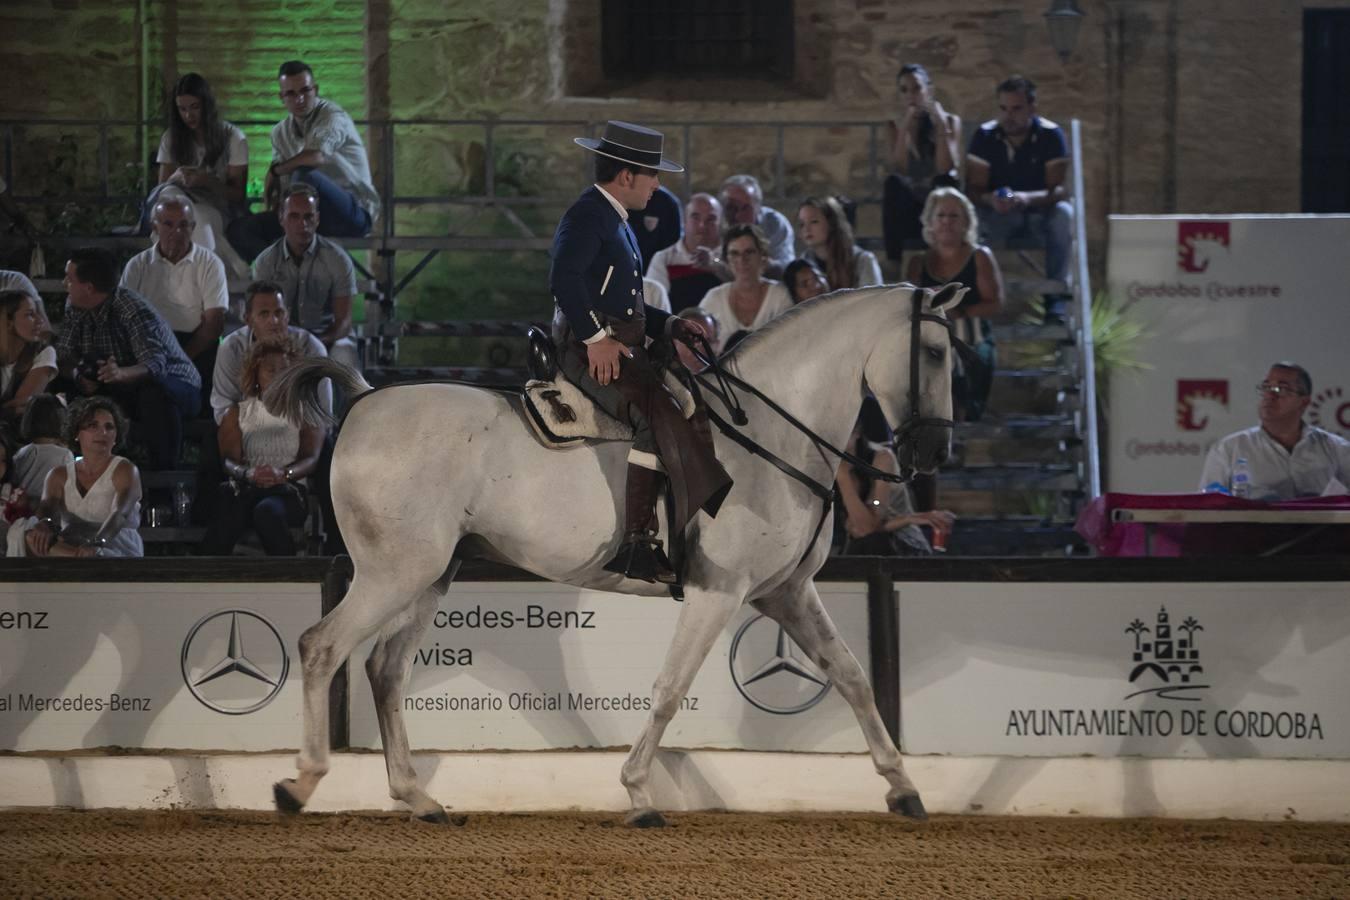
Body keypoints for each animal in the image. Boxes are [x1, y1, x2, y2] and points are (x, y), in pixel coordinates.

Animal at [265, 282, 961, 825]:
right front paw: (637, 793)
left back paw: (417, 797)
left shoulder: (785, 592)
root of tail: (364, 398)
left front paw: (902, 786)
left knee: (385, 669)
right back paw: (301, 782)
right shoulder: (719, 592)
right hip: (392, 573)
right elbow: (671, 688)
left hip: (432, 576)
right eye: (935, 352)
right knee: (322, 647)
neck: (768, 438)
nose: (933, 453)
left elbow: (852, 675)